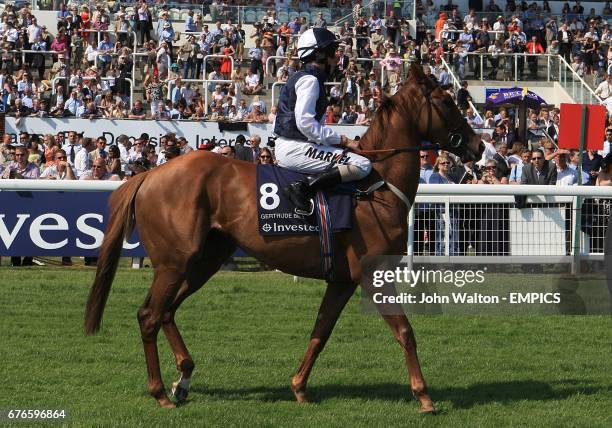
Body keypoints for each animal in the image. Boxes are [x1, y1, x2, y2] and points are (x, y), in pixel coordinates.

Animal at [85, 62, 482, 412]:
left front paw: (299, 387)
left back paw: (183, 379)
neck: (376, 186)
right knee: (149, 314)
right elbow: (405, 331)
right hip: (174, 261)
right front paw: (424, 396)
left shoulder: (342, 280)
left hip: (205, 259)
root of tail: (149, 175)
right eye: (447, 101)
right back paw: (160, 392)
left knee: (167, 311)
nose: (478, 146)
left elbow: (321, 331)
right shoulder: (373, 275)